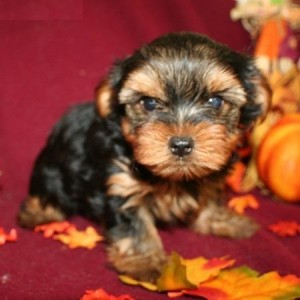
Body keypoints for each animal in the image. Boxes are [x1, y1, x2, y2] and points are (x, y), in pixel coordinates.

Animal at [18, 32, 270, 282]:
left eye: (215, 101)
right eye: (149, 103)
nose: (181, 145)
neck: (174, 177)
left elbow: (208, 198)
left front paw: (223, 220)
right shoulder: (123, 185)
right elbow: (135, 226)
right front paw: (146, 262)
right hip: (54, 170)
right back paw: (39, 213)